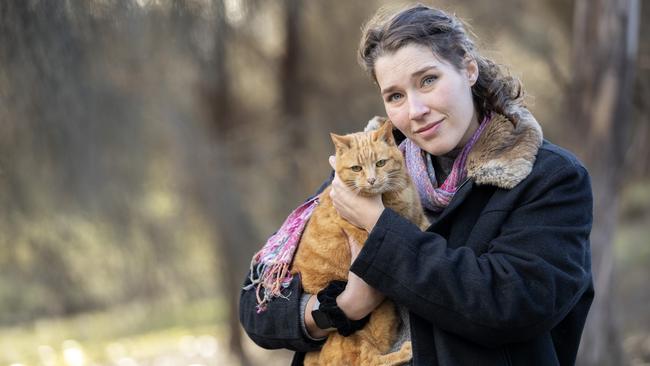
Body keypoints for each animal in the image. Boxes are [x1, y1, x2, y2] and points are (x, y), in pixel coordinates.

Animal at [292, 118, 428, 364]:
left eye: (381, 163)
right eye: (357, 168)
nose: (372, 180)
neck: (397, 191)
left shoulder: (419, 219)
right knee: (368, 360)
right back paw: (405, 351)